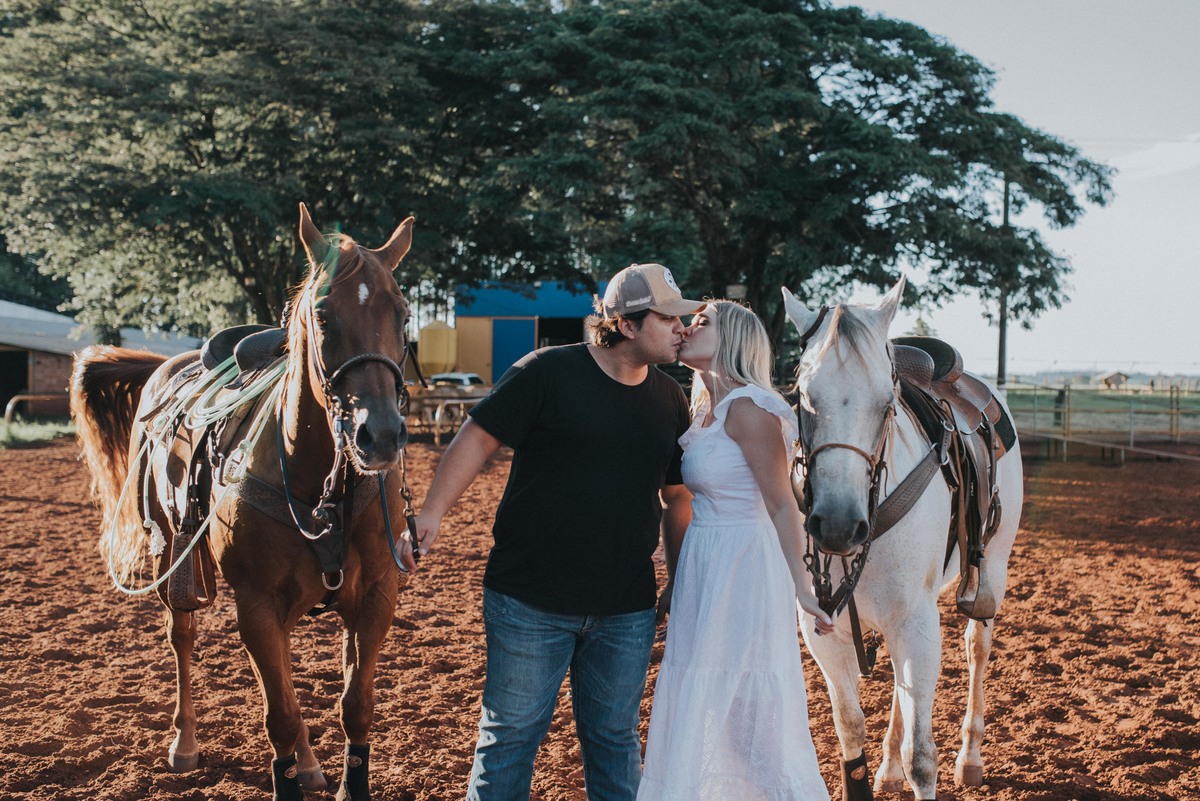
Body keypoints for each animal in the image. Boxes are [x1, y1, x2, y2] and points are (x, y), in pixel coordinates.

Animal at [71, 204, 418, 801]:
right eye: (323, 317)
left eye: (402, 315)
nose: (380, 435)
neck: (317, 484)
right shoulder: (255, 604)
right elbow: (279, 714)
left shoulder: (376, 597)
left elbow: (355, 707)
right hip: (171, 559)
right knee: (183, 639)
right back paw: (185, 742)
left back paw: (309, 763)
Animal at [781, 278, 1023, 801]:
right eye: (801, 396)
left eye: (886, 403)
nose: (837, 525)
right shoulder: (822, 632)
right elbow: (849, 728)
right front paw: (877, 764)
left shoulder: (916, 621)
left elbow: (922, 758)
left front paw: (925, 763)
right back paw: (888, 767)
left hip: (989, 573)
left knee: (977, 647)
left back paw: (970, 758)